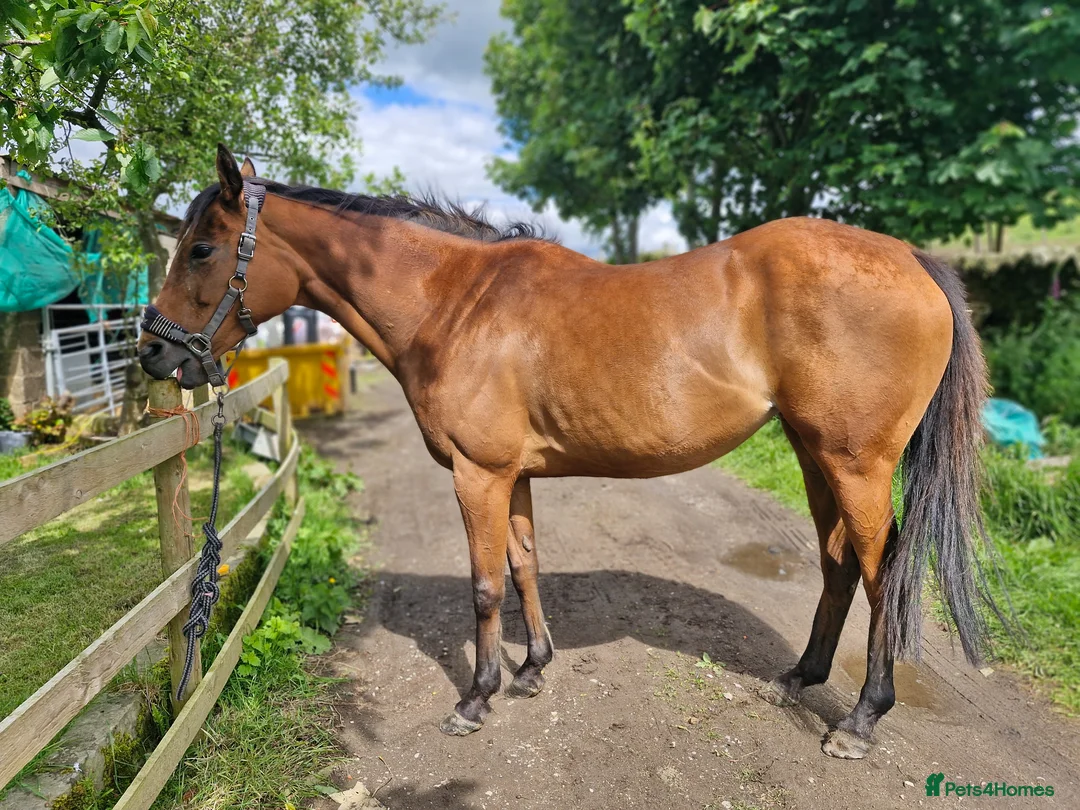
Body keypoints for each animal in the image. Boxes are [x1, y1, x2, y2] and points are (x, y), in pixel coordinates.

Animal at [139, 145, 994, 760]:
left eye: (203, 249)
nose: (152, 352)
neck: (454, 302)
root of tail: (911, 259)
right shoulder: (512, 474)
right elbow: (524, 567)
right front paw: (531, 669)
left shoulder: (479, 475)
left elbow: (485, 586)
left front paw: (476, 697)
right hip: (815, 454)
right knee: (839, 563)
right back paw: (802, 677)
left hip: (856, 463)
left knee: (884, 575)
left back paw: (860, 720)